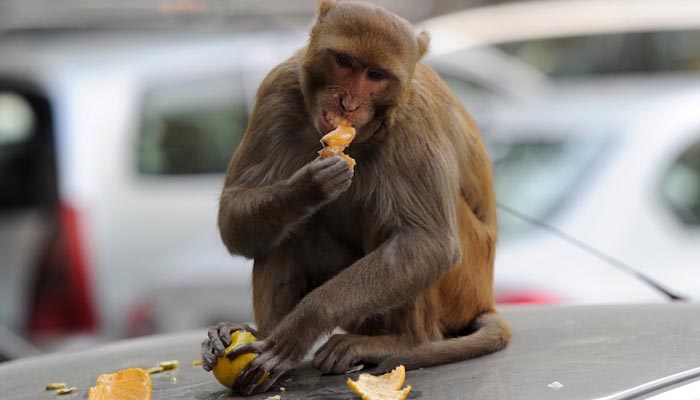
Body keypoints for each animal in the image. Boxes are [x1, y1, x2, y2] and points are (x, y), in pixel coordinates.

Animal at [201, 0, 512, 395]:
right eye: (345, 62)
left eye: (375, 75)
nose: (347, 102)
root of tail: (485, 298)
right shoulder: (277, 90)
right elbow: (233, 215)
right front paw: (307, 188)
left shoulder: (414, 118)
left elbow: (428, 243)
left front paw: (300, 327)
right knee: (289, 232)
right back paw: (261, 338)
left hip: (462, 289)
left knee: (393, 217)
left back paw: (402, 340)